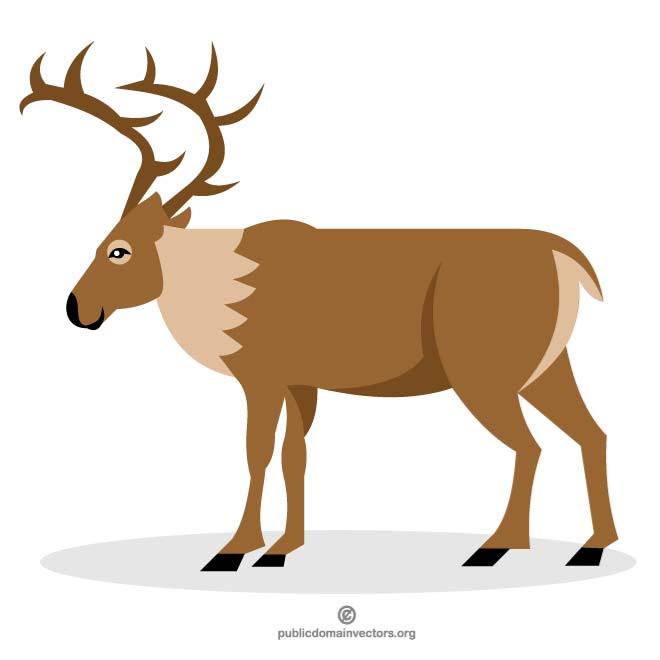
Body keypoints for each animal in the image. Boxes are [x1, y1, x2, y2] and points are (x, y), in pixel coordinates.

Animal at [21, 43, 617, 571]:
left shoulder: (259, 375)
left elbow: (258, 451)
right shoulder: (301, 382)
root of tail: (568, 259)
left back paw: (496, 546)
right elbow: (295, 454)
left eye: (117, 249)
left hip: (482, 372)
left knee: (530, 445)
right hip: (545, 366)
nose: (77, 306)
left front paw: (234, 550)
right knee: (592, 433)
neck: (214, 289)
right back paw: (591, 546)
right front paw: (282, 549)